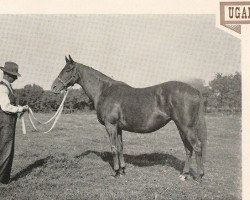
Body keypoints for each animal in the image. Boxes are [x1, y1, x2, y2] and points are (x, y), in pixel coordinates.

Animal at [50, 55, 207, 183]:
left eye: (68, 70)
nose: (54, 87)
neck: (104, 91)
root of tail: (195, 90)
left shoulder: (111, 125)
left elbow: (113, 148)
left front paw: (115, 172)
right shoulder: (119, 128)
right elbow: (120, 148)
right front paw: (122, 171)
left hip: (186, 127)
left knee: (197, 146)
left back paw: (199, 177)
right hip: (181, 127)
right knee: (188, 149)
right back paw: (184, 175)